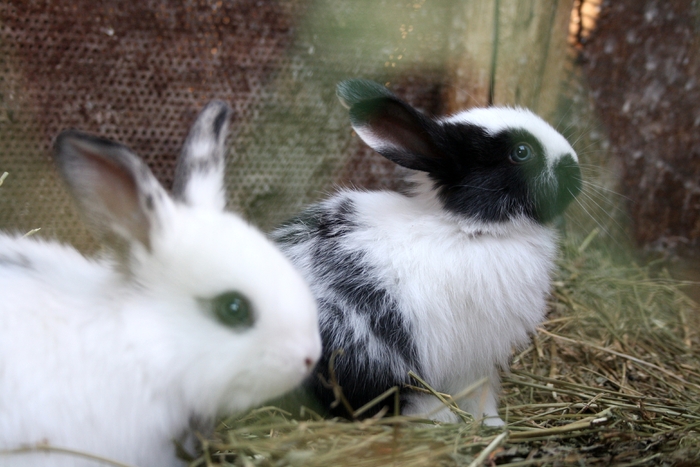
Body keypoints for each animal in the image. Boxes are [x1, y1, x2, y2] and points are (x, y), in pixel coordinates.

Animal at [270, 80, 584, 428]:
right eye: (521, 152)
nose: (575, 167)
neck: (469, 228)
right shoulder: (473, 355)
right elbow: (478, 393)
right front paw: (492, 423)